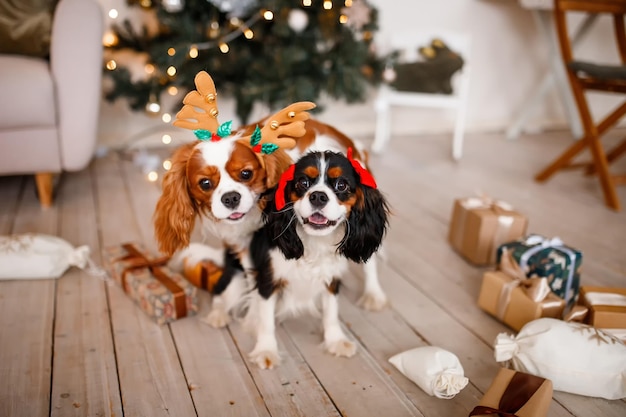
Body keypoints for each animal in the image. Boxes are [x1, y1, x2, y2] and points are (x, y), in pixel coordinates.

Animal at [152, 71, 386, 328]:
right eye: (205, 184)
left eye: (246, 174)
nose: (231, 198)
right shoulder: (246, 245)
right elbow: (258, 281)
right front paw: (257, 318)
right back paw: (219, 312)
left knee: (370, 259)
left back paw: (373, 294)